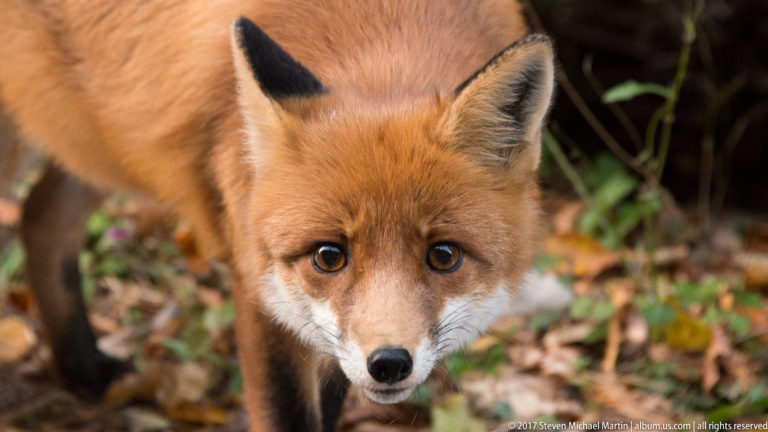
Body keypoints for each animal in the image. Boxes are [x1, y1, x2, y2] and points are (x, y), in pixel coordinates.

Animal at [0, 0, 555, 430]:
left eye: (443, 256)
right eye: (329, 256)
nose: (388, 364)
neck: (386, 30)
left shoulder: (323, 337)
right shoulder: (260, 289)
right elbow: (287, 416)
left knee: (40, 216)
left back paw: (79, 366)